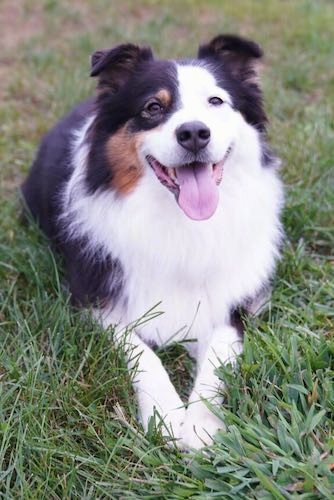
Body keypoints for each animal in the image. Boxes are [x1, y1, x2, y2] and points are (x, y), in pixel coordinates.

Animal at [22, 36, 284, 450]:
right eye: (153, 108)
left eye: (215, 101)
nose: (194, 133)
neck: (181, 223)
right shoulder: (97, 300)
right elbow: (143, 352)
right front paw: (166, 415)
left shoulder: (234, 303)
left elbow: (218, 357)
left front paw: (200, 424)